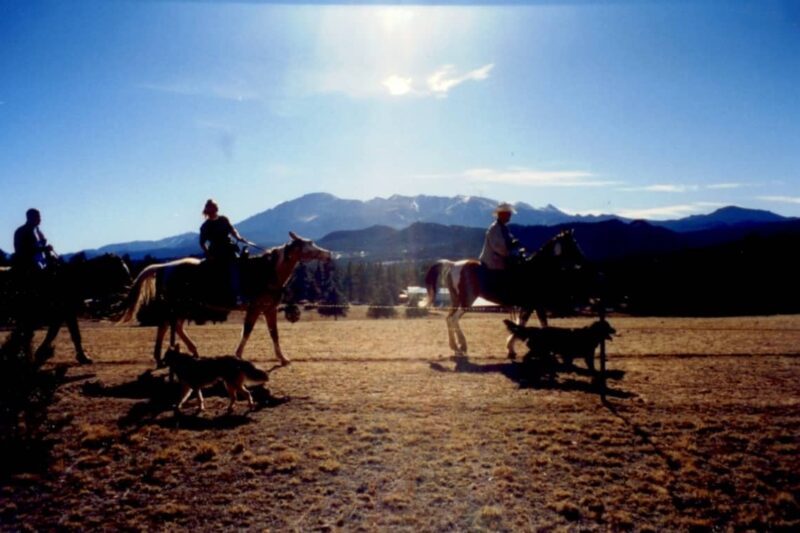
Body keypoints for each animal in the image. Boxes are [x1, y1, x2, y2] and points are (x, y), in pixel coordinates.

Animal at [0, 252, 131, 362]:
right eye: (120, 269)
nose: (130, 284)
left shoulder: (61, 315)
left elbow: (55, 334)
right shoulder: (64, 313)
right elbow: (65, 334)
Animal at [119, 232, 332, 366]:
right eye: (309, 244)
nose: (329, 254)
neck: (267, 272)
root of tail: (165, 267)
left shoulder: (269, 309)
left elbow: (274, 334)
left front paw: (283, 358)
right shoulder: (255, 308)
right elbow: (247, 331)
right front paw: (238, 355)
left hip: (184, 306)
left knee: (174, 326)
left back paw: (191, 351)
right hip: (177, 305)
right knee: (165, 325)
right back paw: (162, 356)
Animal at [424, 228, 588, 358]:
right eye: (573, 243)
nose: (583, 262)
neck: (535, 269)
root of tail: (453, 265)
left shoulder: (532, 306)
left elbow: (530, 324)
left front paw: (512, 348)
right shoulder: (533, 305)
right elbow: (530, 324)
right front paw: (512, 348)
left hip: (456, 300)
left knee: (449, 319)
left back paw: (456, 347)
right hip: (466, 302)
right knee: (454, 319)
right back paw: (462, 346)